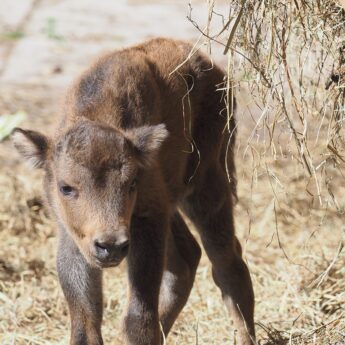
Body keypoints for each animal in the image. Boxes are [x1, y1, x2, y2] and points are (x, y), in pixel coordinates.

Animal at [12, 38, 254, 344]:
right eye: (66, 187)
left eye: (131, 183)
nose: (111, 245)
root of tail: (214, 71)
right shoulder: (74, 235)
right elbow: (85, 322)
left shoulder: (147, 219)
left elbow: (138, 316)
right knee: (187, 258)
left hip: (208, 186)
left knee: (227, 263)